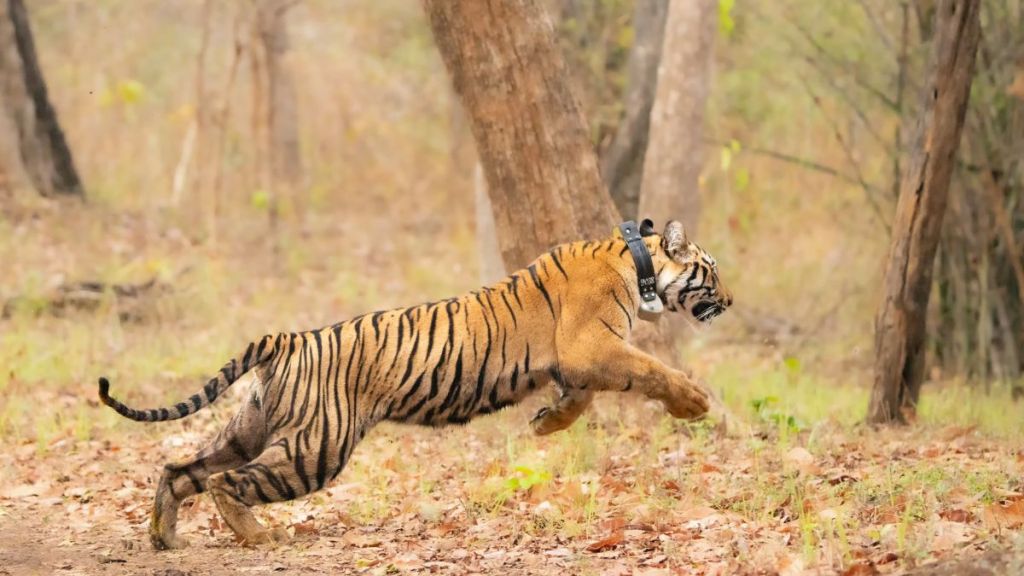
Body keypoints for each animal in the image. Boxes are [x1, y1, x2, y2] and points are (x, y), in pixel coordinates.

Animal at [99, 218, 733, 545]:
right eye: (713, 271)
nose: (729, 302)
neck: (638, 262)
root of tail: (289, 339)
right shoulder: (591, 346)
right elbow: (649, 370)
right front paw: (694, 402)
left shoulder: (576, 363)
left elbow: (579, 399)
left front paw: (545, 424)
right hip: (315, 447)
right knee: (226, 481)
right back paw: (258, 537)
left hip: (249, 427)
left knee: (180, 469)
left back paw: (164, 536)